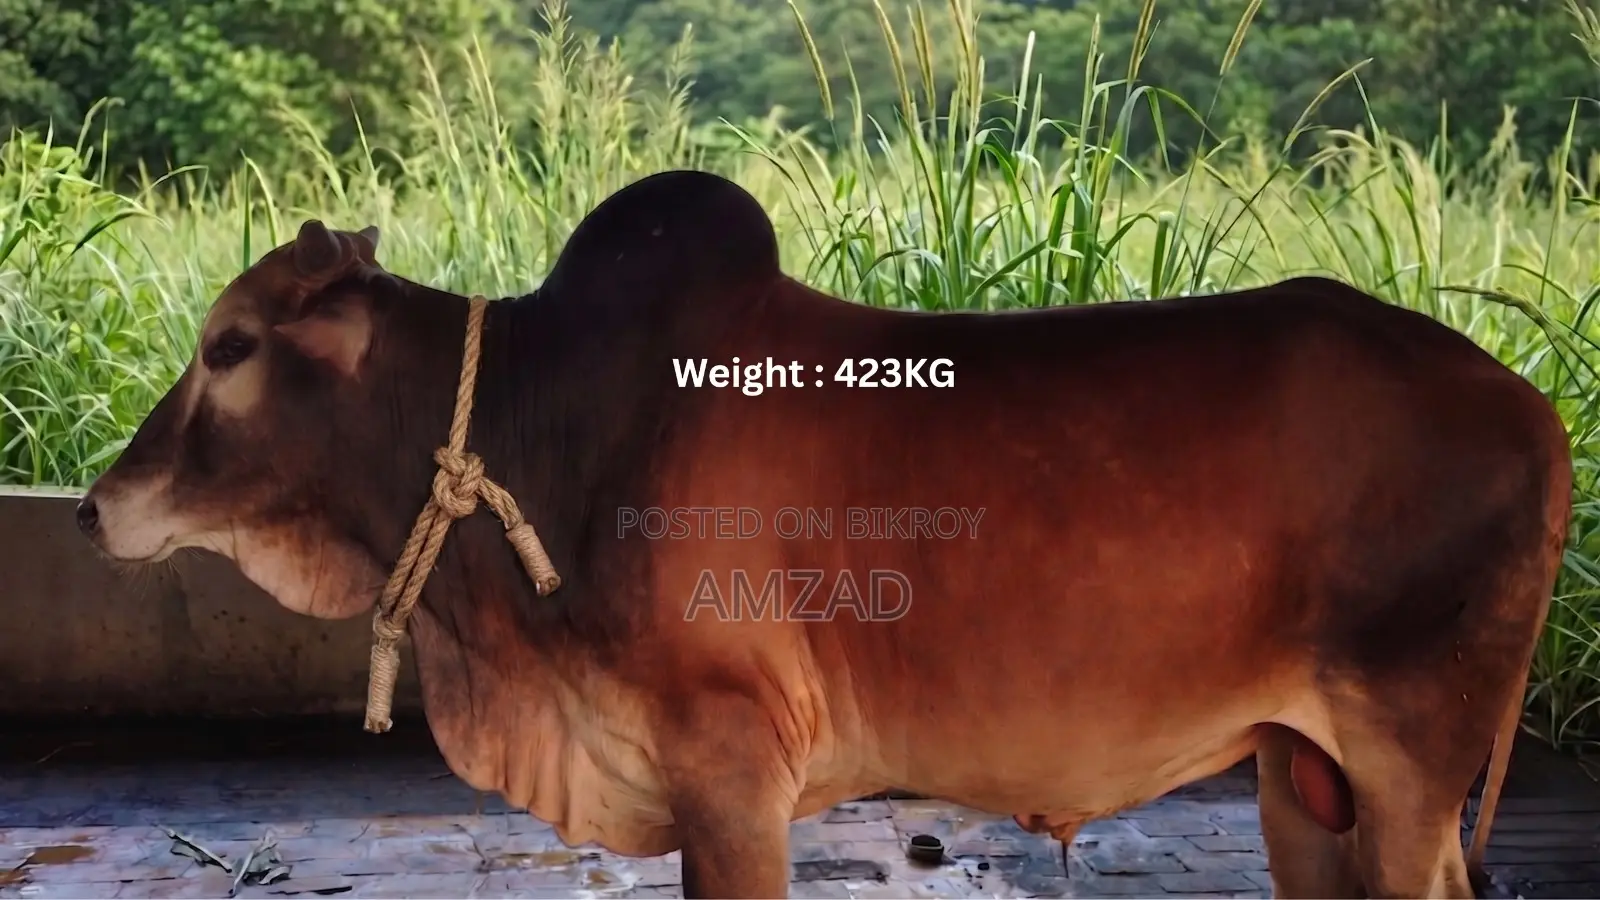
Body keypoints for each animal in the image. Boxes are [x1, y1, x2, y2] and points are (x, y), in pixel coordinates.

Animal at [77, 169, 1571, 899]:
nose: (96, 506)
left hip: (1410, 768)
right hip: (1299, 777)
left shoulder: (732, 769)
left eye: (230, 345)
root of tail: (1535, 411)